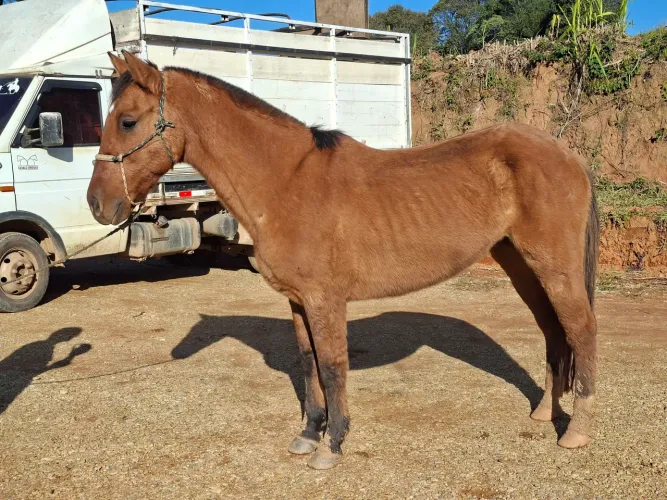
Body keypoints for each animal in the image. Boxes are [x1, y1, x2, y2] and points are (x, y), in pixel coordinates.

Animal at [87, 51, 599, 470]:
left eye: (128, 121)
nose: (98, 204)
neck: (286, 182)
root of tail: (565, 153)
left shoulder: (325, 300)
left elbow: (333, 366)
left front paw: (332, 446)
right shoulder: (297, 301)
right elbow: (308, 363)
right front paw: (308, 435)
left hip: (554, 265)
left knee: (581, 330)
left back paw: (576, 430)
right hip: (520, 263)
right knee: (553, 330)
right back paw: (544, 412)